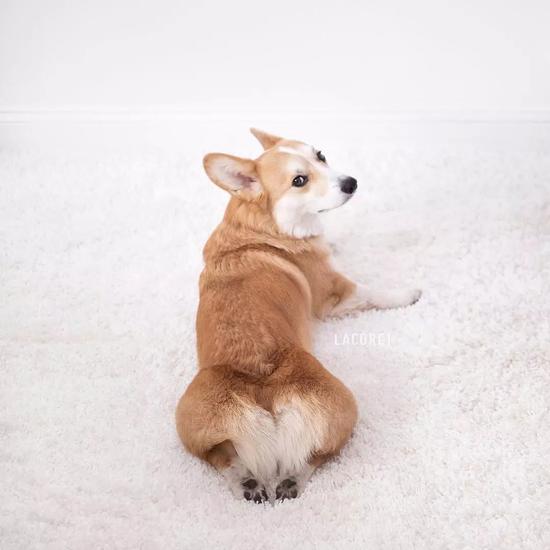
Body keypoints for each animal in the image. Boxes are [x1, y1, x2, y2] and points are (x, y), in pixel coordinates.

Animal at [175, 129, 421, 503]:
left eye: (321, 155)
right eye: (299, 181)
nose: (351, 183)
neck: (265, 226)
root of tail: (264, 392)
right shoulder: (337, 294)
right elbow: (375, 292)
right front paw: (408, 293)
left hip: (191, 426)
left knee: (220, 455)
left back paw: (247, 481)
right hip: (346, 408)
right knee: (319, 454)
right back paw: (292, 478)